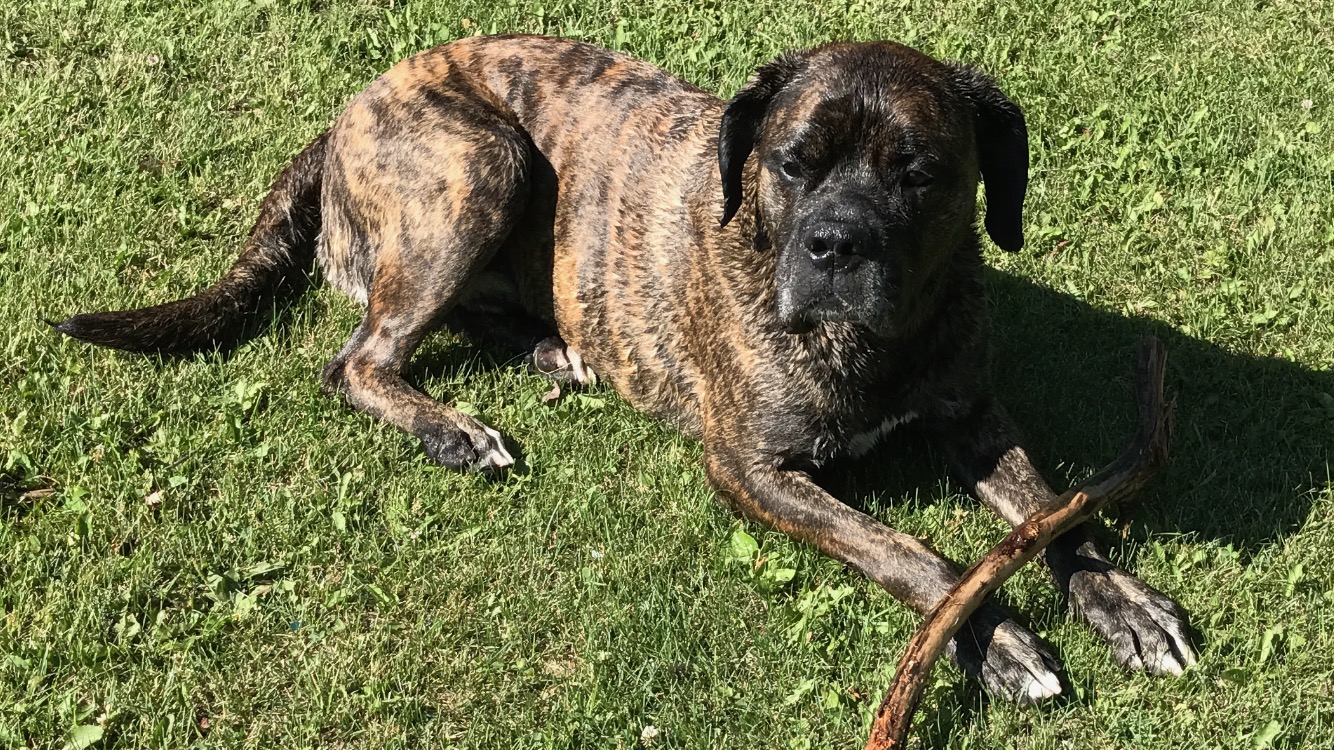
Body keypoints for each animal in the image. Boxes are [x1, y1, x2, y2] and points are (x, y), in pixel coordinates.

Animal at [54, 34, 1195, 702]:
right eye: (793, 164)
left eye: (920, 173)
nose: (837, 245)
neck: (879, 342)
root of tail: (352, 107)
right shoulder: (754, 470)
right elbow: (907, 551)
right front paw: (995, 639)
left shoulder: (975, 416)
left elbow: (1055, 510)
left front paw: (1125, 604)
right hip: (480, 165)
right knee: (361, 357)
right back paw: (451, 428)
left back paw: (551, 347)